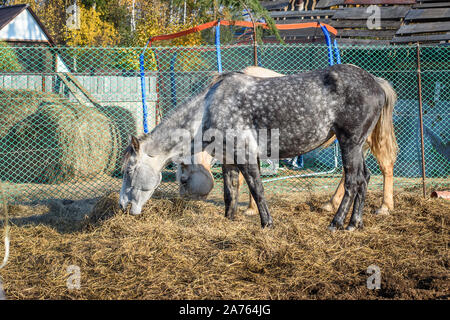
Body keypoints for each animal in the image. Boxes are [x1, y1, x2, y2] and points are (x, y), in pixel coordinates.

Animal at [120, 63, 398, 231]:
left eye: (128, 170)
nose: (123, 206)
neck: (208, 108)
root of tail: (376, 82)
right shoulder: (229, 160)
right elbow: (230, 191)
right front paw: (229, 219)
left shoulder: (246, 156)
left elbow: (257, 189)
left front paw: (267, 223)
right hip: (357, 146)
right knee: (364, 178)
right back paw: (354, 223)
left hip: (350, 142)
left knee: (353, 180)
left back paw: (337, 222)